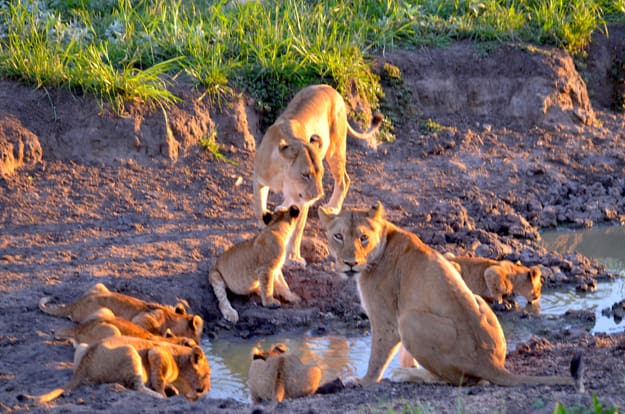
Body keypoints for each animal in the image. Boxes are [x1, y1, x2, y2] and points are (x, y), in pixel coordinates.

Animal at [17, 335, 211, 404]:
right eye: (208, 374)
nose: (207, 389)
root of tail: (84, 366)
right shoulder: (155, 354)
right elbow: (158, 380)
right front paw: (165, 393)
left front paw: (173, 389)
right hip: (130, 352)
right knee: (136, 386)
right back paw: (158, 396)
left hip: (84, 347)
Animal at [39, 283, 204, 343]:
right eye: (199, 336)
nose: (199, 344)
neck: (173, 318)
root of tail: (75, 304)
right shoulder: (143, 319)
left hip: (100, 287)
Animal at [253, 84, 383, 266]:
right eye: (305, 175)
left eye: (320, 174)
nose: (318, 195)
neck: (283, 177)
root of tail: (330, 88)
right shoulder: (259, 179)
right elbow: (259, 206)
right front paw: (264, 221)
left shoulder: (303, 201)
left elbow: (297, 230)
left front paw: (293, 258)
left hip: (335, 149)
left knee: (344, 179)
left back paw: (332, 207)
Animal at [318, 202, 583, 390]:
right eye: (338, 236)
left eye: (363, 237)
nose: (350, 263)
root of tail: (490, 363)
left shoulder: (386, 319)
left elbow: (377, 357)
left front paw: (363, 381)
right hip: (474, 298)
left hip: (410, 320)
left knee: (458, 380)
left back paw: (407, 375)